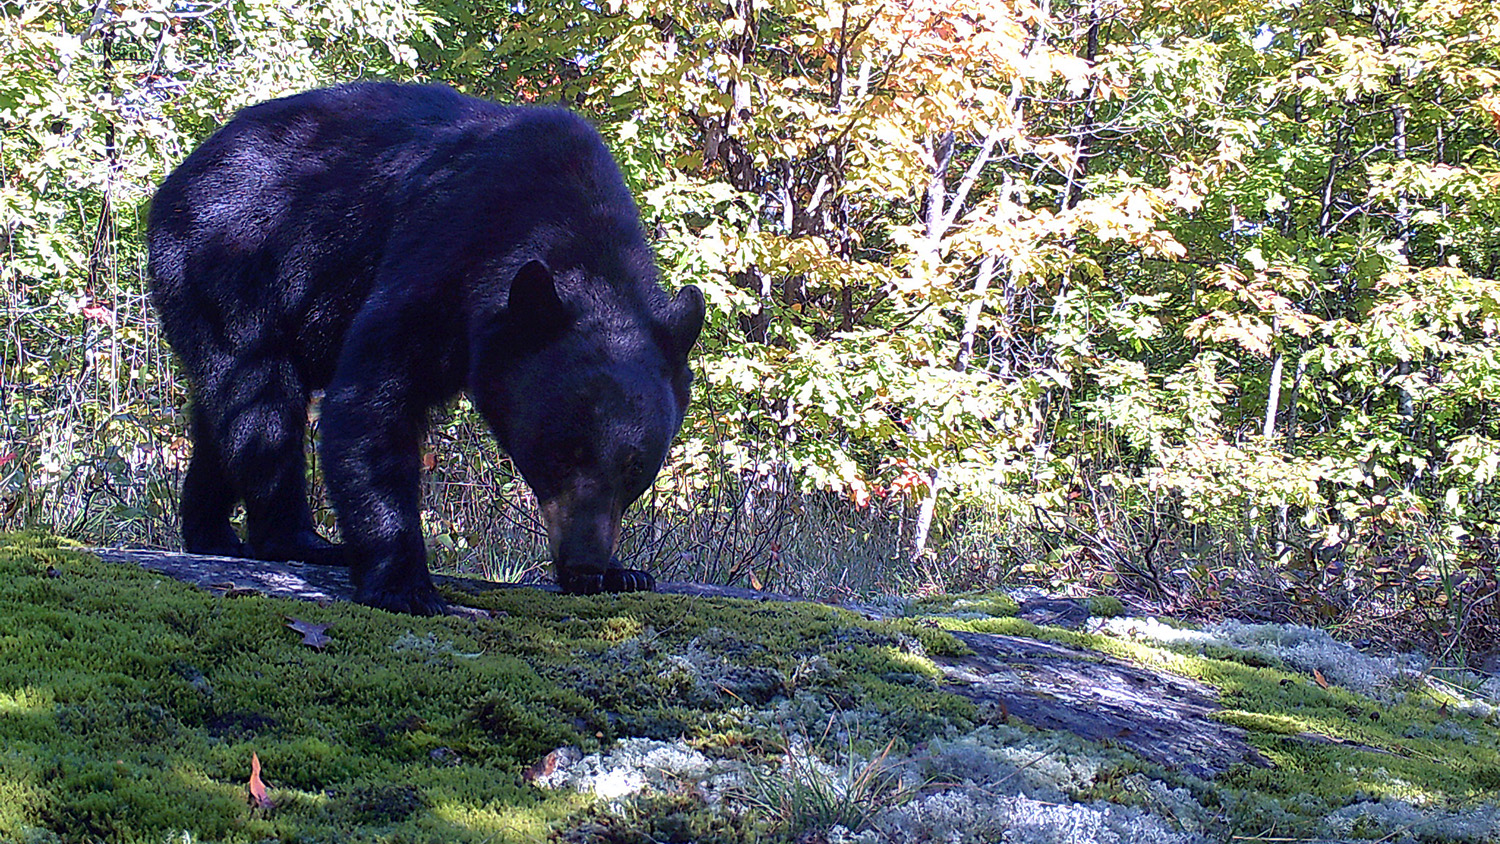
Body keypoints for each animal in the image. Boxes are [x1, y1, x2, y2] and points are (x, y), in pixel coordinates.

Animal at [146, 84, 702, 614]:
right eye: (560, 453)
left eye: (635, 468)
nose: (585, 564)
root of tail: (179, 179)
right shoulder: (443, 252)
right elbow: (372, 402)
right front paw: (404, 585)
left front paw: (624, 573)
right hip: (226, 263)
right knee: (260, 400)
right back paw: (296, 540)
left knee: (220, 417)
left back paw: (212, 534)